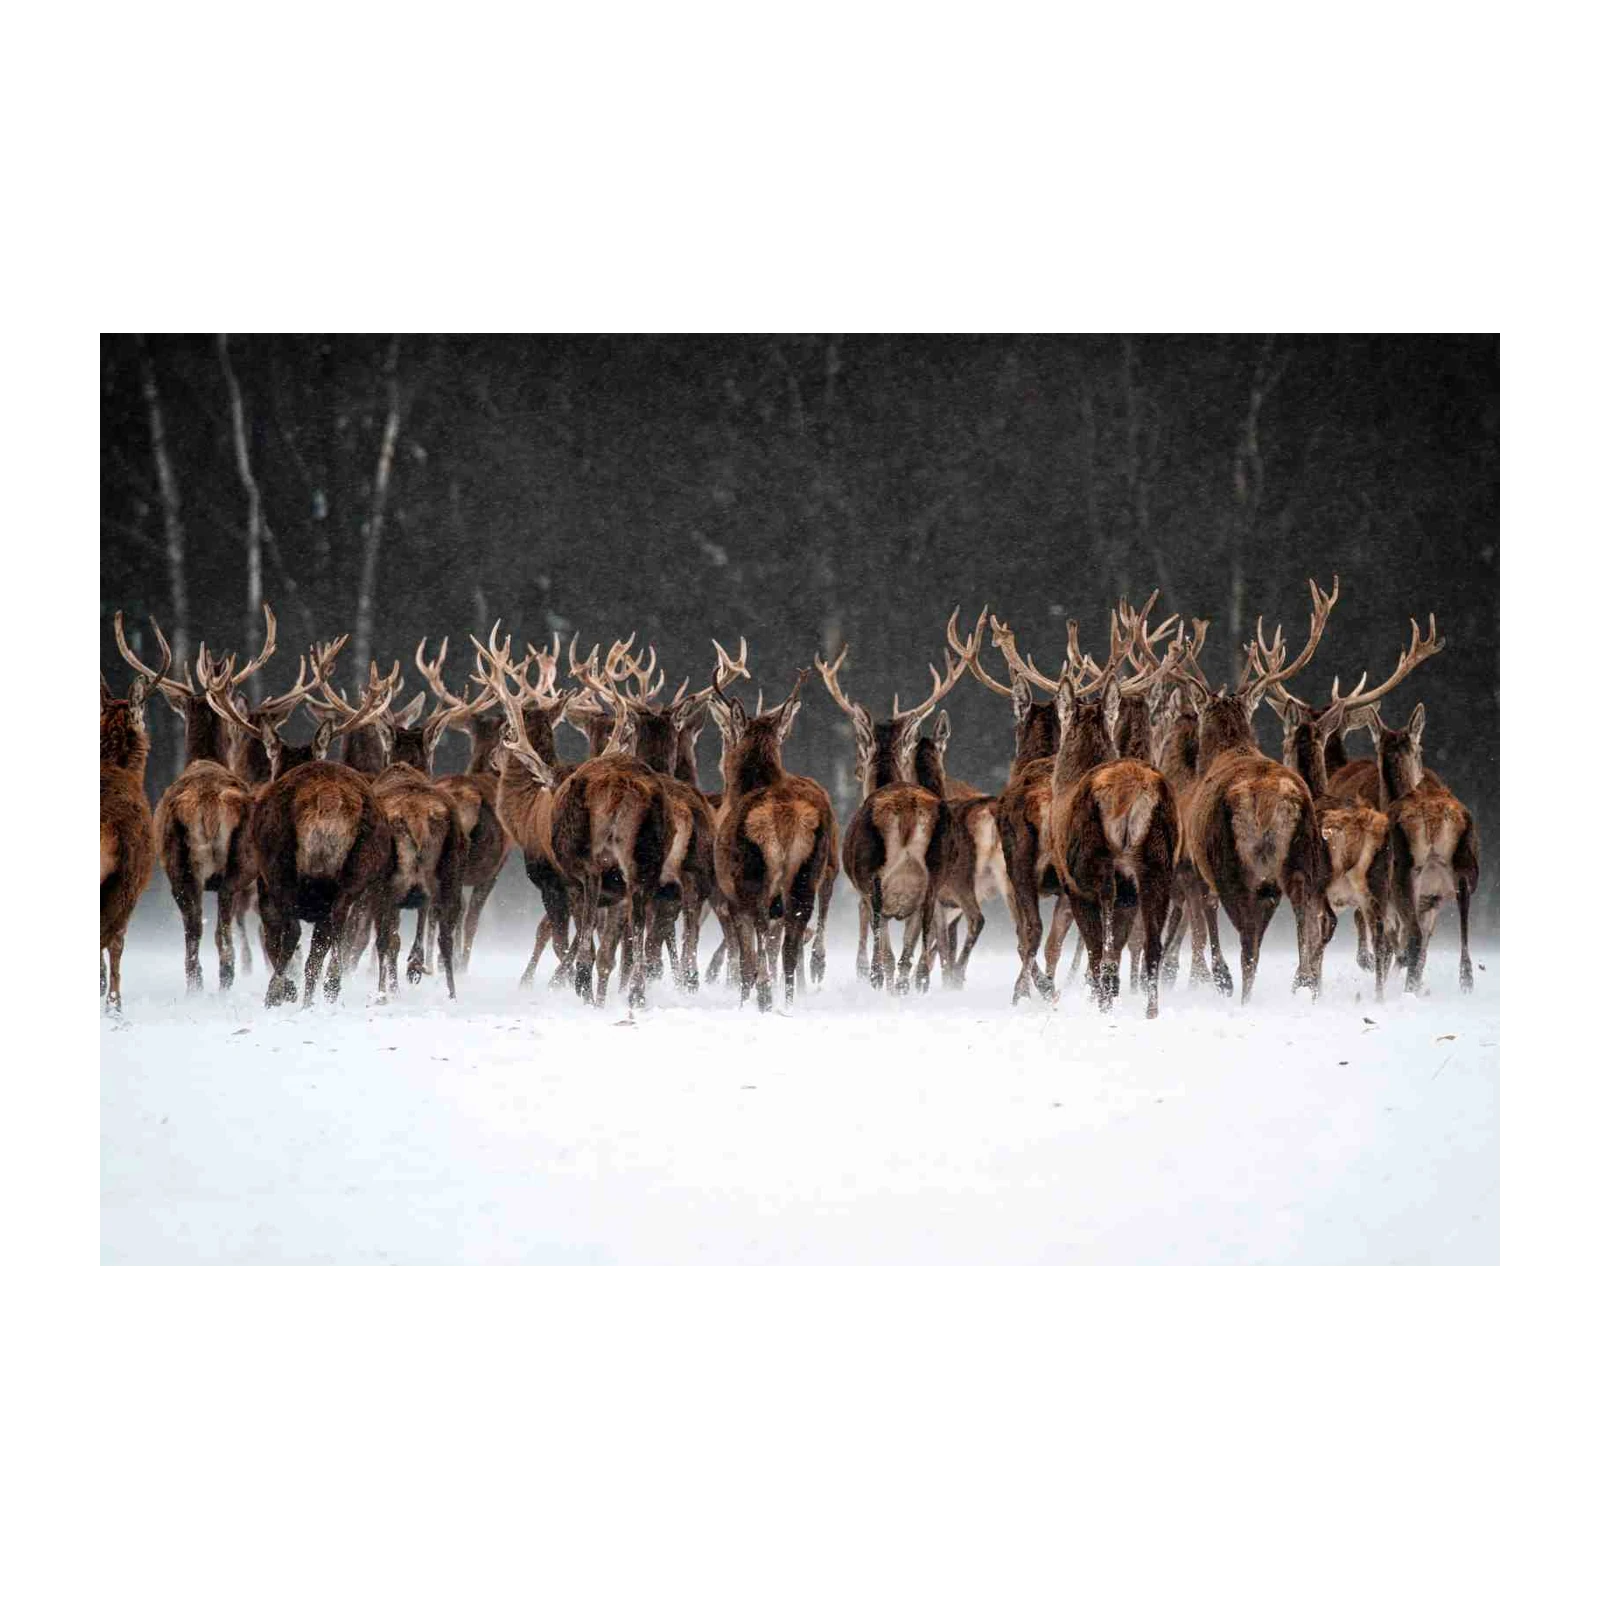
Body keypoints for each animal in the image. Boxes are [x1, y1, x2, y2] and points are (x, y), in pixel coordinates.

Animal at [117, 606, 277, 992]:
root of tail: (205, 806)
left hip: (177, 863)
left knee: (194, 930)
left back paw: (198, 986)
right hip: (232, 866)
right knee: (217, 932)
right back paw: (221, 983)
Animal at [203, 642, 395, 1007]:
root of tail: (329, 798)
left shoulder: (264, 884)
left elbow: (275, 939)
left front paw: (283, 991)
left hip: (280, 863)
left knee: (292, 933)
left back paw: (277, 993)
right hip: (356, 869)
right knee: (329, 940)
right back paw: (318, 997)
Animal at [707, 666, 838, 1011]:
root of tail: (784, 817)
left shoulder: (730, 895)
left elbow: (746, 957)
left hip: (752, 875)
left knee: (762, 933)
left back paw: (766, 997)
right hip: (808, 872)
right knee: (792, 943)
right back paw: (789, 1001)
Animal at [814, 608, 982, 994]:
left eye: (861, 748)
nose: (857, 770)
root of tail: (908, 812)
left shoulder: (864, 890)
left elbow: (884, 952)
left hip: (875, 876)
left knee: (886, 952)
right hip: (933, 877)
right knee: (916, 954)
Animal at [1165, 577, 1340, 1004]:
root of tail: (1269, 798)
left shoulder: (1197, 864)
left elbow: (1210, 918)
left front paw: (1220, 979)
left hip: (1231, 860)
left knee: (1248, 940)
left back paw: (1240, 991)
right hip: (1302, 858)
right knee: (1309, 915)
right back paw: (1303, 982)